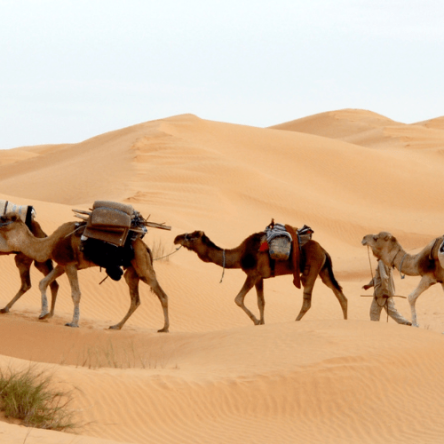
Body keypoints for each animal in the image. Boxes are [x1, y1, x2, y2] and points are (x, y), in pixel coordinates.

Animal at [0, 213, 169, 332]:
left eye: (4, 218)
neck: (50, 243)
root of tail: (145, 246)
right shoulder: (62, 264)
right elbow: (43, 283)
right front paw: (44, 314)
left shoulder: (70, 265)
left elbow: (76, 293)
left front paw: (73, 322)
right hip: (132, 271)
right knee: (135, 299)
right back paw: (116, 326)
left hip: (142, 264)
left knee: (161, 293)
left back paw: (164, 328)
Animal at [173, 231, 346, 324]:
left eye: (192, 236)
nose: (176, 238)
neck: (239, 255)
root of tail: (324, 250)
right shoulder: (260, 278)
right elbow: (261, 302)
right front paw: (262, 322)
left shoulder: (252, 274)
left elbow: (238, 299)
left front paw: (256, 322)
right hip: (323, 270)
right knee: (340, 295)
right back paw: (345, 320)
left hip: (311, 271)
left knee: (307, 301)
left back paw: (295, 321)